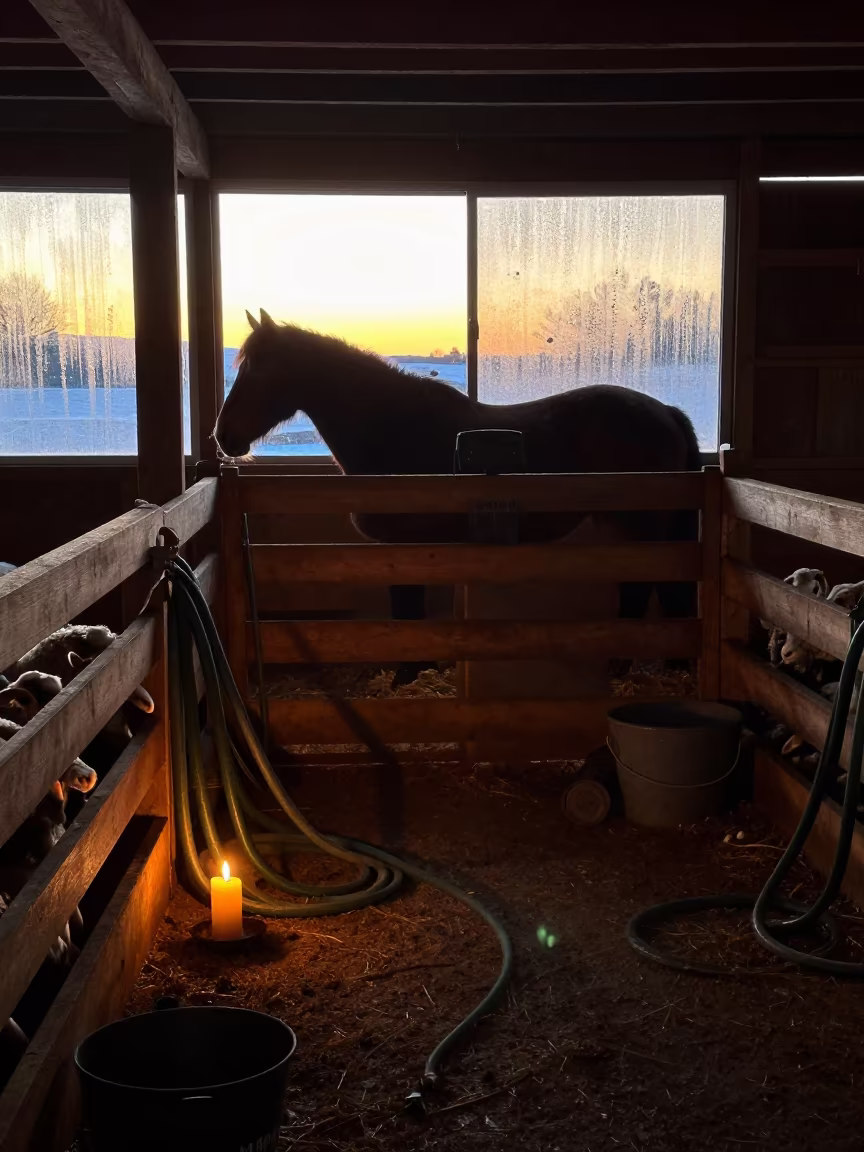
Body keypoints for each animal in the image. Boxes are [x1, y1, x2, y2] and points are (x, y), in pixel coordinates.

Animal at [215, 310, 702, 683]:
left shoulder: (400, 550)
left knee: (641, 590)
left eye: (257, 369)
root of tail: (666, 412)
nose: (223, 437)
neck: (391, 428)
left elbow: (407, 613)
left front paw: (406, 676)